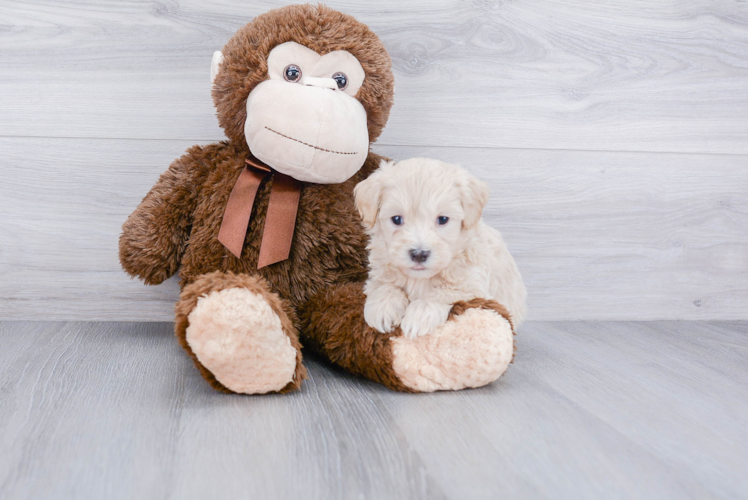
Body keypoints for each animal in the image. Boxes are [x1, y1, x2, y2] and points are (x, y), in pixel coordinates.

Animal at [356, 159, 524, 340]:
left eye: (443, 219)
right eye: (396, 219)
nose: (419, 254)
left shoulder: (474, 286)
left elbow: (442, 292)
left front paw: (419, 315)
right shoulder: (379, 273)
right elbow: (385, 286)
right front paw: (382, 308)